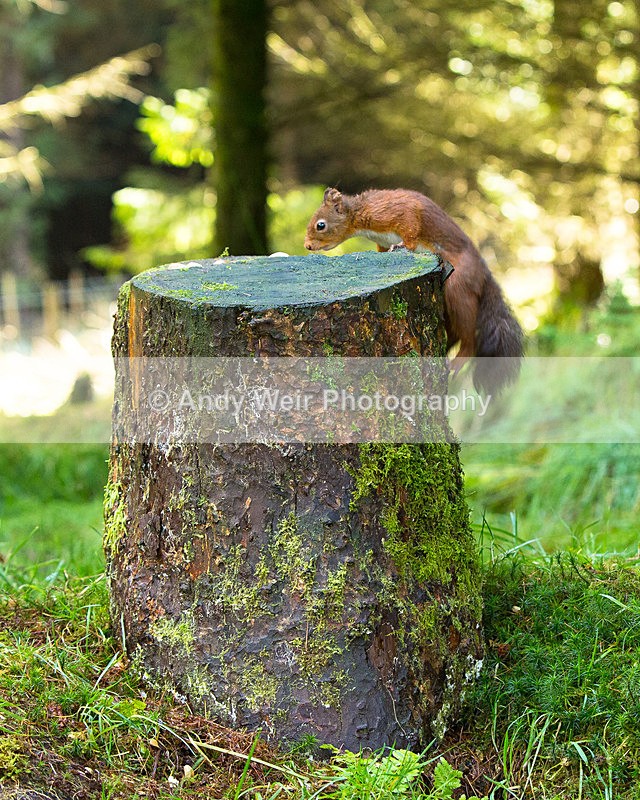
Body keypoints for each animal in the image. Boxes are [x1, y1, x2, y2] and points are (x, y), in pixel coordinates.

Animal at [304, 187, 524, 394]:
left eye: (320, 225)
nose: (307, 246)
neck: (359, 212)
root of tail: (483, 275)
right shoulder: (381, 240)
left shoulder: (396, 212)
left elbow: (410, 231)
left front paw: (402, 246)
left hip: (458, 287)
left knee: (469, 338)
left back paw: (456, 362)